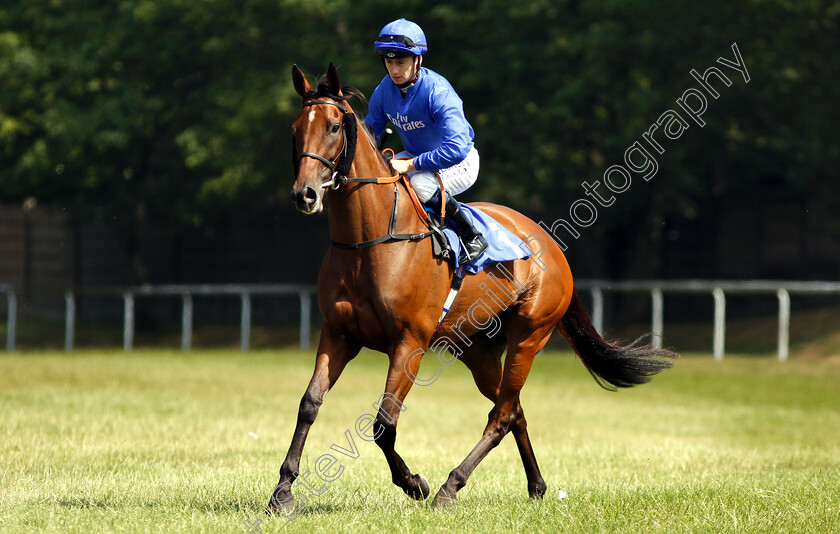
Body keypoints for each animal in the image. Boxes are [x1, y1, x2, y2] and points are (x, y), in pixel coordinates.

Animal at [272, 62, 680, 516]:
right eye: (295, 129)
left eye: (332, 126)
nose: (304, 194)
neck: (370, 242)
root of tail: (551, 246)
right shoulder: (339, 334)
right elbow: (309, 404)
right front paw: (283, 490)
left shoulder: (409, 344)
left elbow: (384, 424)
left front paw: (414, 483)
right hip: (478, 351)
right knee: (513, 408)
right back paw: (536, 486)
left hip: (528, 337)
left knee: (501, 415)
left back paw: (450, 486)